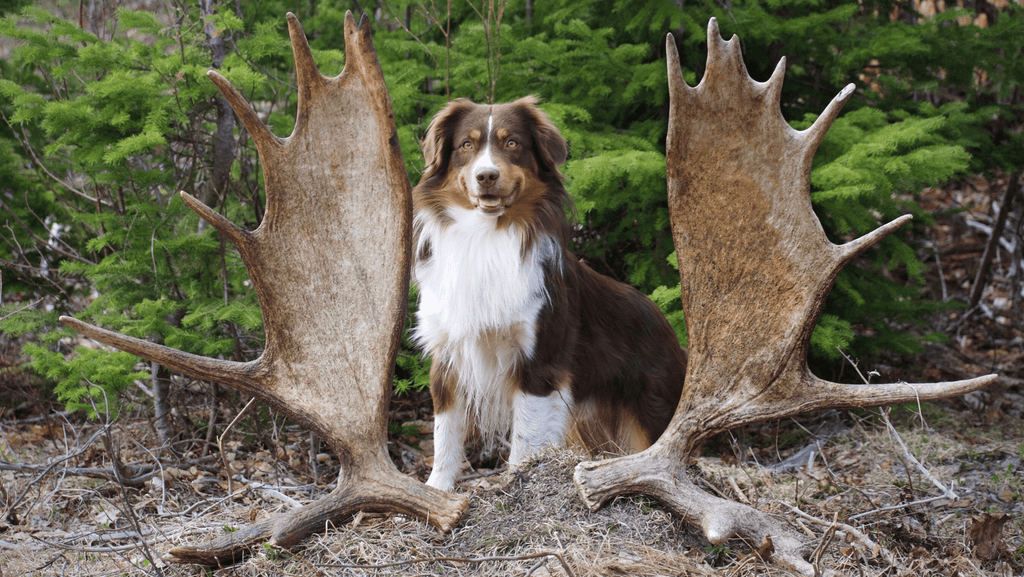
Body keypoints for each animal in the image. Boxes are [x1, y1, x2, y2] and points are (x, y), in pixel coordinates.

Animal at [409, 95, 688, 491]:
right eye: (466, 145)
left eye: (512, 143)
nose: (486, 176)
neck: (485, 237)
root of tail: (673, 335)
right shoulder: (448, 353)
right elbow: (445, 432)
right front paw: (436, 490)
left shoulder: (540, 359)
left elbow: (526, 437)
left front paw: (514, 483)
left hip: (650, 414)